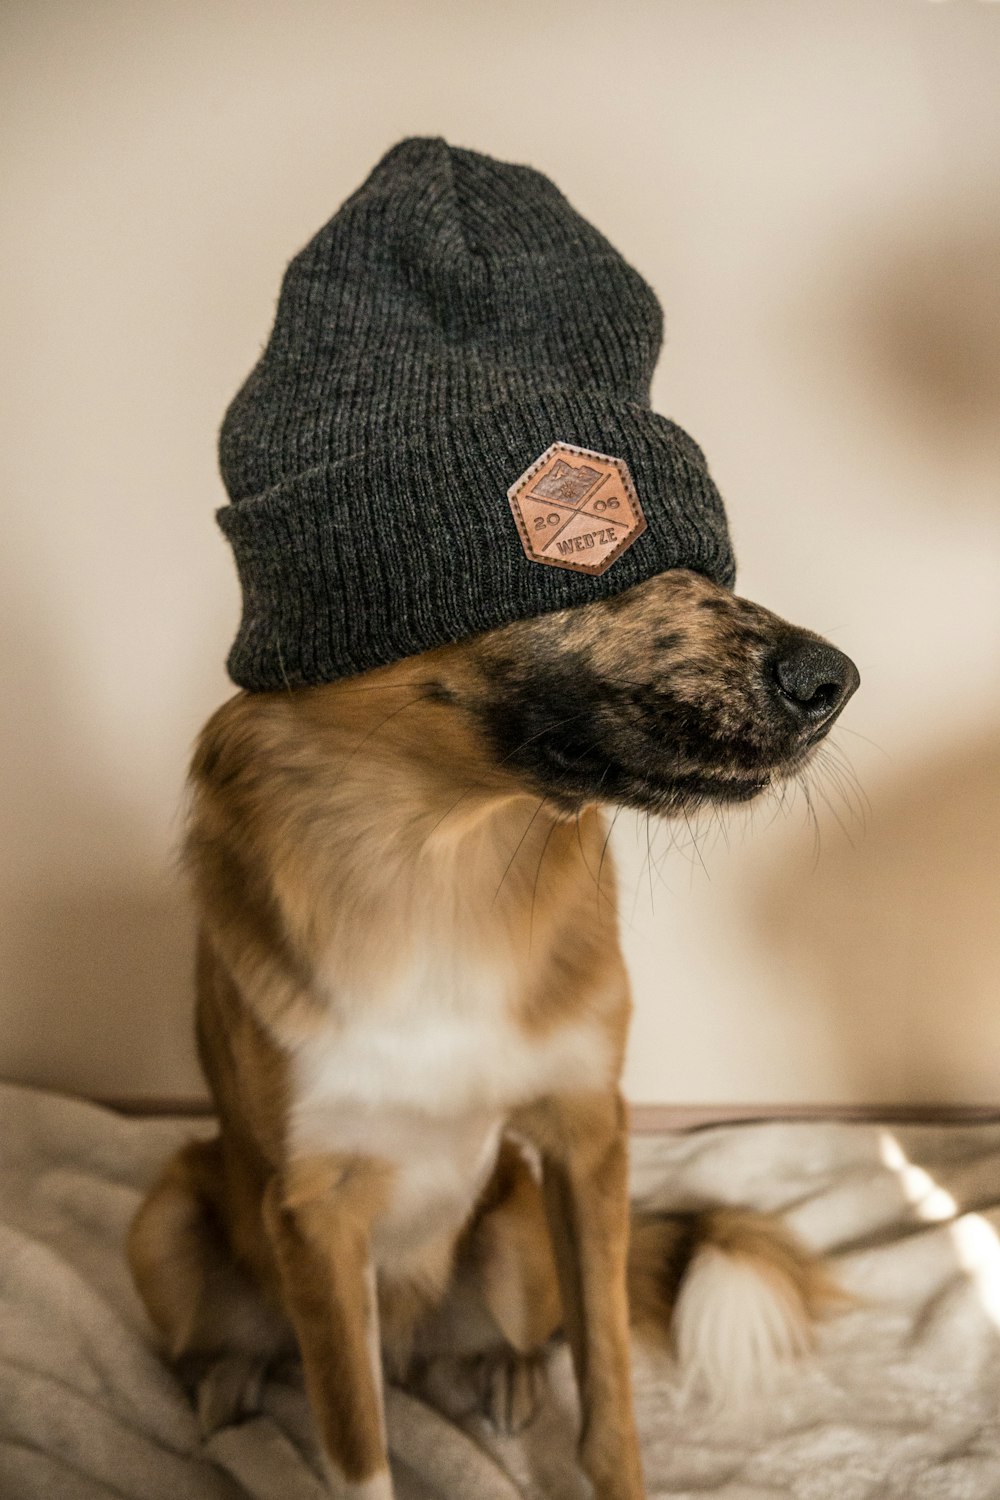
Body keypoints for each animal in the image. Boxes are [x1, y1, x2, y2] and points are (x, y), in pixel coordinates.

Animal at [125, 564, 863, 1500]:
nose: (833, 682)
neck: (437, 864)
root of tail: (411, 1347)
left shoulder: (588, 1137)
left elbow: (606, 1390)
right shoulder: (316, 1211)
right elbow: (355, 1448)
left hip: (516, 1232)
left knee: (534, 1334)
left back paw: (504, 1371)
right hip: (164, 1225)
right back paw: (226, 1379)